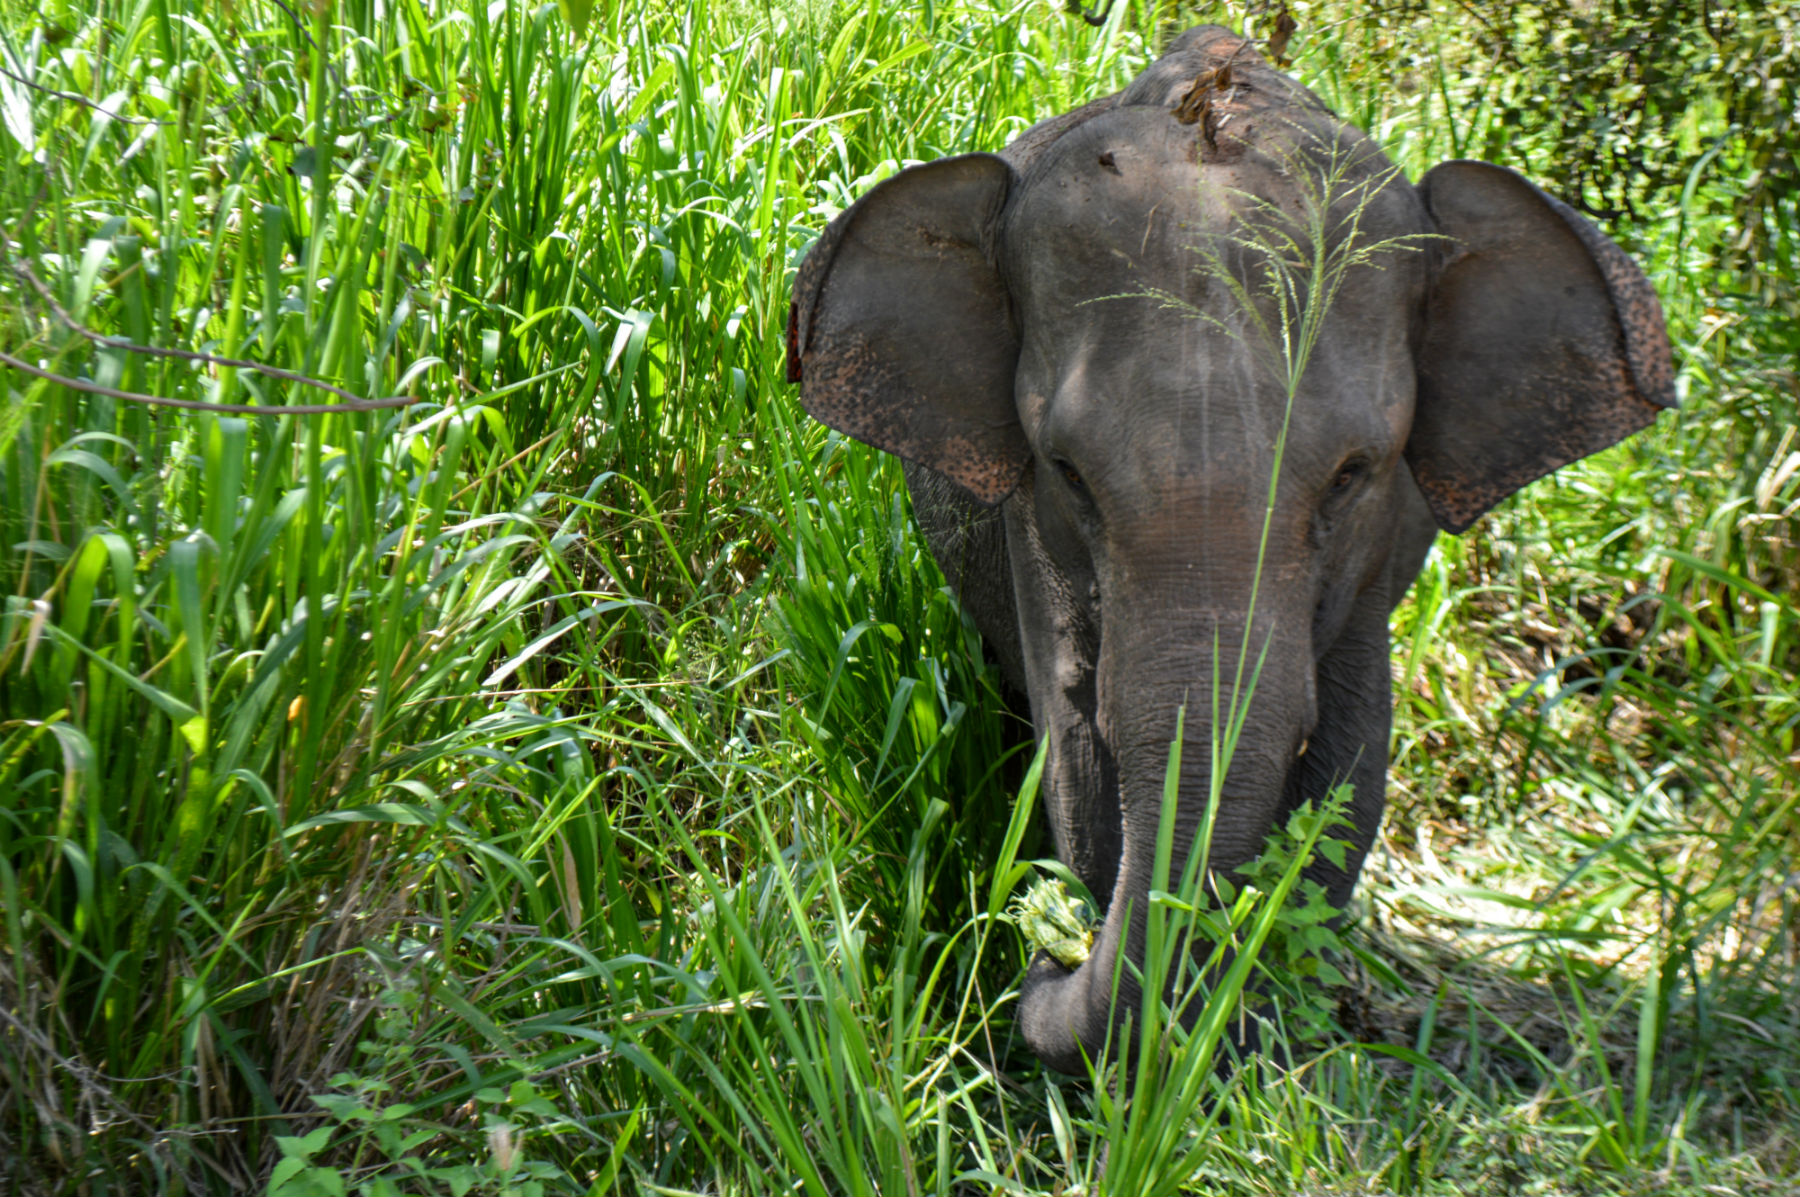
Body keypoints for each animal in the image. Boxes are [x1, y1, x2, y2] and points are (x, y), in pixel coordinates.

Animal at [781, 25, 1677, 1072]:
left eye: (1354, 473)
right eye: (1067, 471)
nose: (1038, 947)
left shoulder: (1380, 556)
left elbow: (1354, 759)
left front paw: (1255, 1028)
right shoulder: (1031, 535)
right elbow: (1076, 751)